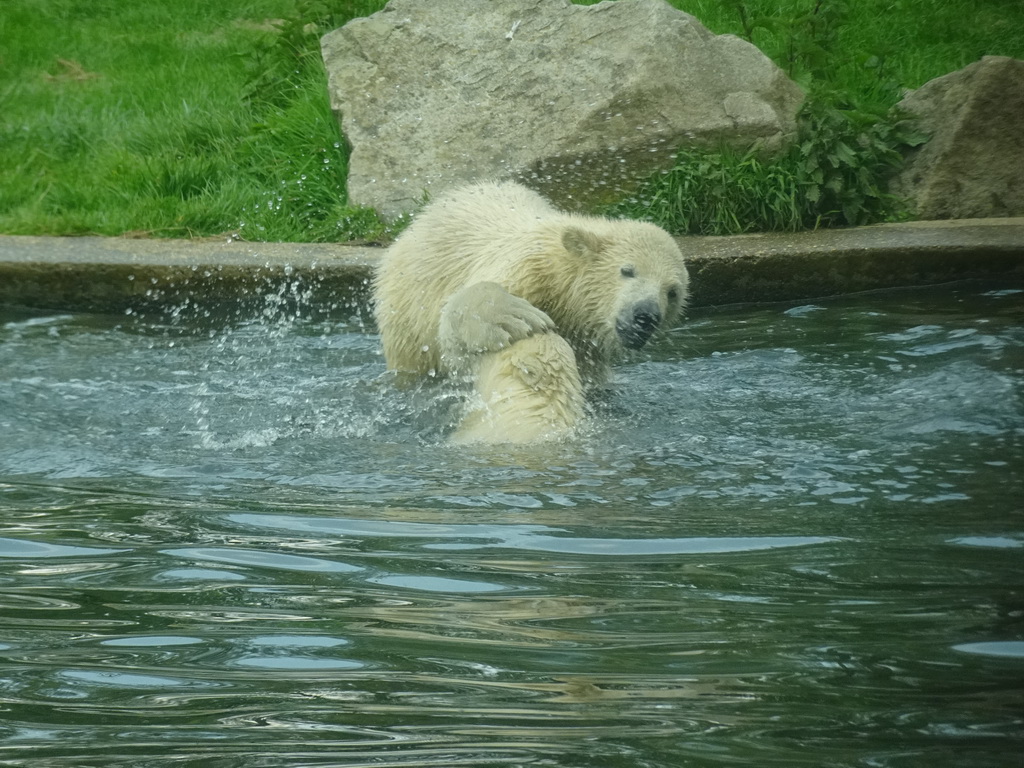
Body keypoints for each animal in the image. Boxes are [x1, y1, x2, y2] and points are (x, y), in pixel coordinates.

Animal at [372, 181, 692, 444]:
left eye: (672, 292)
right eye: (627, 270)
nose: (645, 316)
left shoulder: (587, 345)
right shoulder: (523, 268)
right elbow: (458, 335)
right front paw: (511, 316)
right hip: (407, 306)